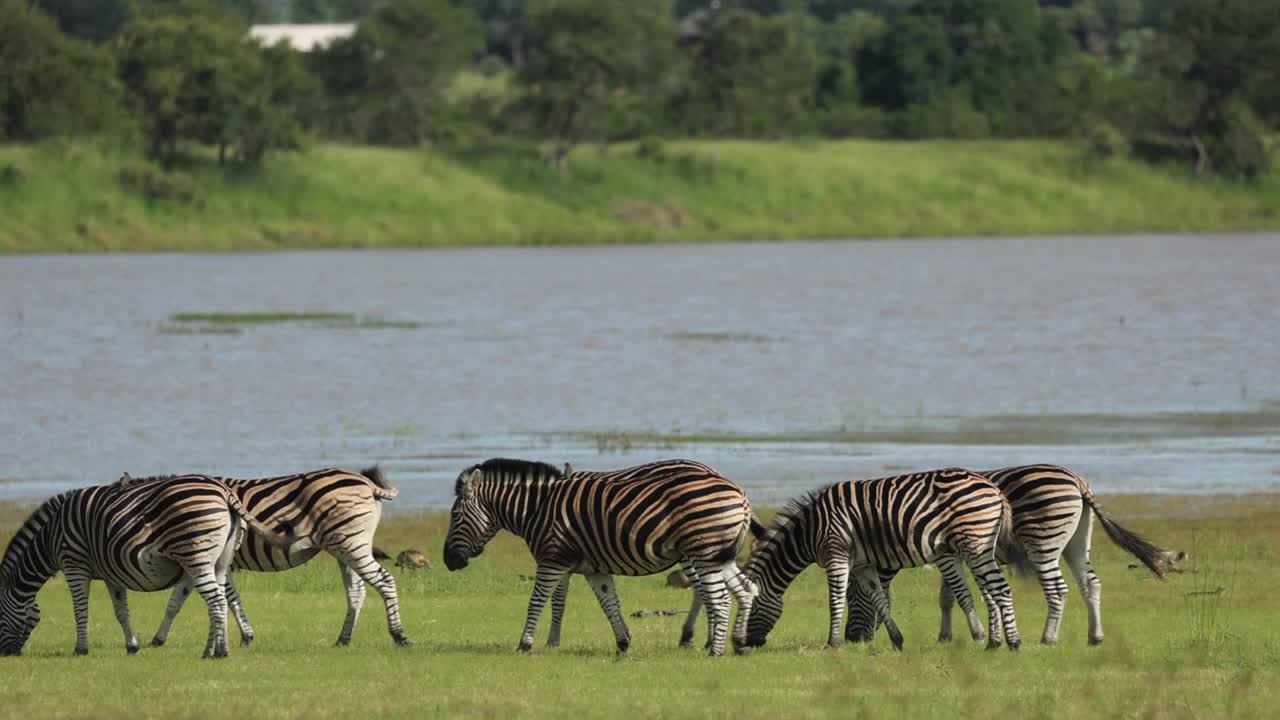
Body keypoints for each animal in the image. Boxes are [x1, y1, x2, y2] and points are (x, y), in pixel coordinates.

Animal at [0, 475, 294, 658]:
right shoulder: (112, 573)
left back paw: (219, 653)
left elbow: (80, 609)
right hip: (219, 559)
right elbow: (121, 611)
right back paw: (212, 650)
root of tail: (225, 493)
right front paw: (132, 645)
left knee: (217, 601)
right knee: (221, 597)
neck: (50, 537)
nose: (7, 653)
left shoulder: (74, 563)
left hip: (196, 553)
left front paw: (80, 648)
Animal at [117, 466, 409, 648]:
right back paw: (343, 640)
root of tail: (368, 484)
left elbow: (229, 598)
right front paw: (158, 639)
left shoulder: (211, 560)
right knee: (357, 592)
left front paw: (245, 637)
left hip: (350, 542)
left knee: (385, 581)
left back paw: (399, 636)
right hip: (345, 546)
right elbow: (177, 601)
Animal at [442, 458, 758, 656]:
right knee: (745, 589)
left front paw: (525, 644)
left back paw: (715, 650)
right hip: (718, 554)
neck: (538, 508)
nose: (448, 561)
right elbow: (609, 604)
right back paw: (738, 643)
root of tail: (740, 492)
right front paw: (623, 643)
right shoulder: (592, 568)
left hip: (703, 552)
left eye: (455, 516)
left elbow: (538, 601)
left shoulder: (553, 558)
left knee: (719, 598)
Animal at [741, 467, 1022, 652]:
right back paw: (995, 642)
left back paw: (1013, 643)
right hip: (980, 544)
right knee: (992, 590)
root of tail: (994, 488)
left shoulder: (836, 554)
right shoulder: (863, 565)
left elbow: (834, 601)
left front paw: (832, 644)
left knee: (1001, 589)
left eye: (752, 606)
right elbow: (879, 599)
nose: (745, 644)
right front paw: (897, 640)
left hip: (975, 543)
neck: (810, 530)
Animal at [843, 464, 1177, 647]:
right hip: (1077, 542)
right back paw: (1095, 637)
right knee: (1091, 584)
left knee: (1058, 590)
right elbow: (947, 597)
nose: (851, 640)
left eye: (850, 598)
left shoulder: (944, 554)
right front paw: (946, 636)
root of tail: (1077, 481)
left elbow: (954, 596)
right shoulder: (953, 553)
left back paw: (1048, 638)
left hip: (1043, 542)